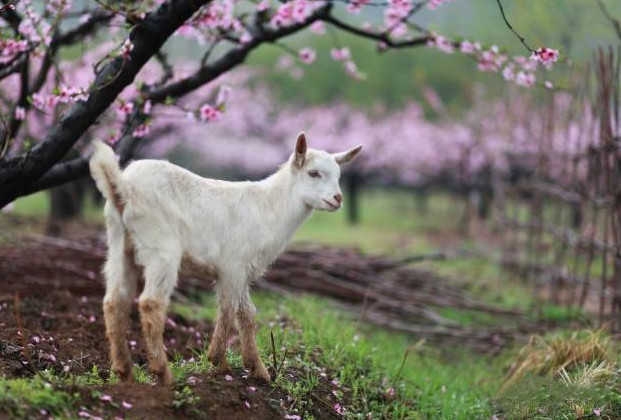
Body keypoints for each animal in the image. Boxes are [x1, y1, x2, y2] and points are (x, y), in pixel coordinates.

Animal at [87, 134, 358, 384]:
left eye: (338, 175)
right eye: (314, 173)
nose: (338, 199)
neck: (269, 207)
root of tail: (123, 187)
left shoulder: (243, 270)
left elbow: (246, 313)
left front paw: (256, 370)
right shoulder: (232, 265)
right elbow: (228, 309)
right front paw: (218, 360)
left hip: (119, 245)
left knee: (114, 301)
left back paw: (123, 372)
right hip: (161, 247)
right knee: (151, 302)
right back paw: (162, 373)